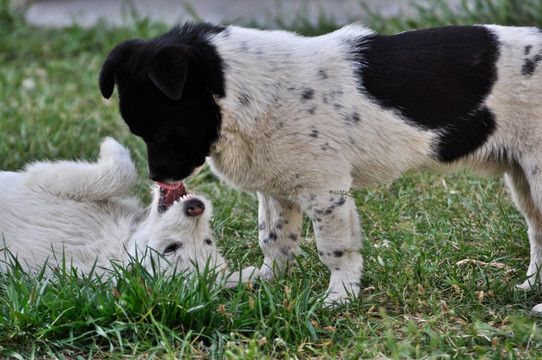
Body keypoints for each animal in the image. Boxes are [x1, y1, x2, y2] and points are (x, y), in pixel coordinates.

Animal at [0, 137, 260, 284]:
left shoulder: (46, 181)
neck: (118, 243)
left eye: (169, 249)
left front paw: (111, 148)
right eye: (209, 241)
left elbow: (120, 173)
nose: (195, 208)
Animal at [100, 22, 542, 310]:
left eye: (163, 130)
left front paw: (339, 297)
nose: (158, 179)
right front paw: (265, 280)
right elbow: (273, 239)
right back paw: (531, 287)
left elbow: (335, 250)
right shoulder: (275, 189)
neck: (242, 94)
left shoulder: (325, 191)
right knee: (537, 231)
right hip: (522, 179)